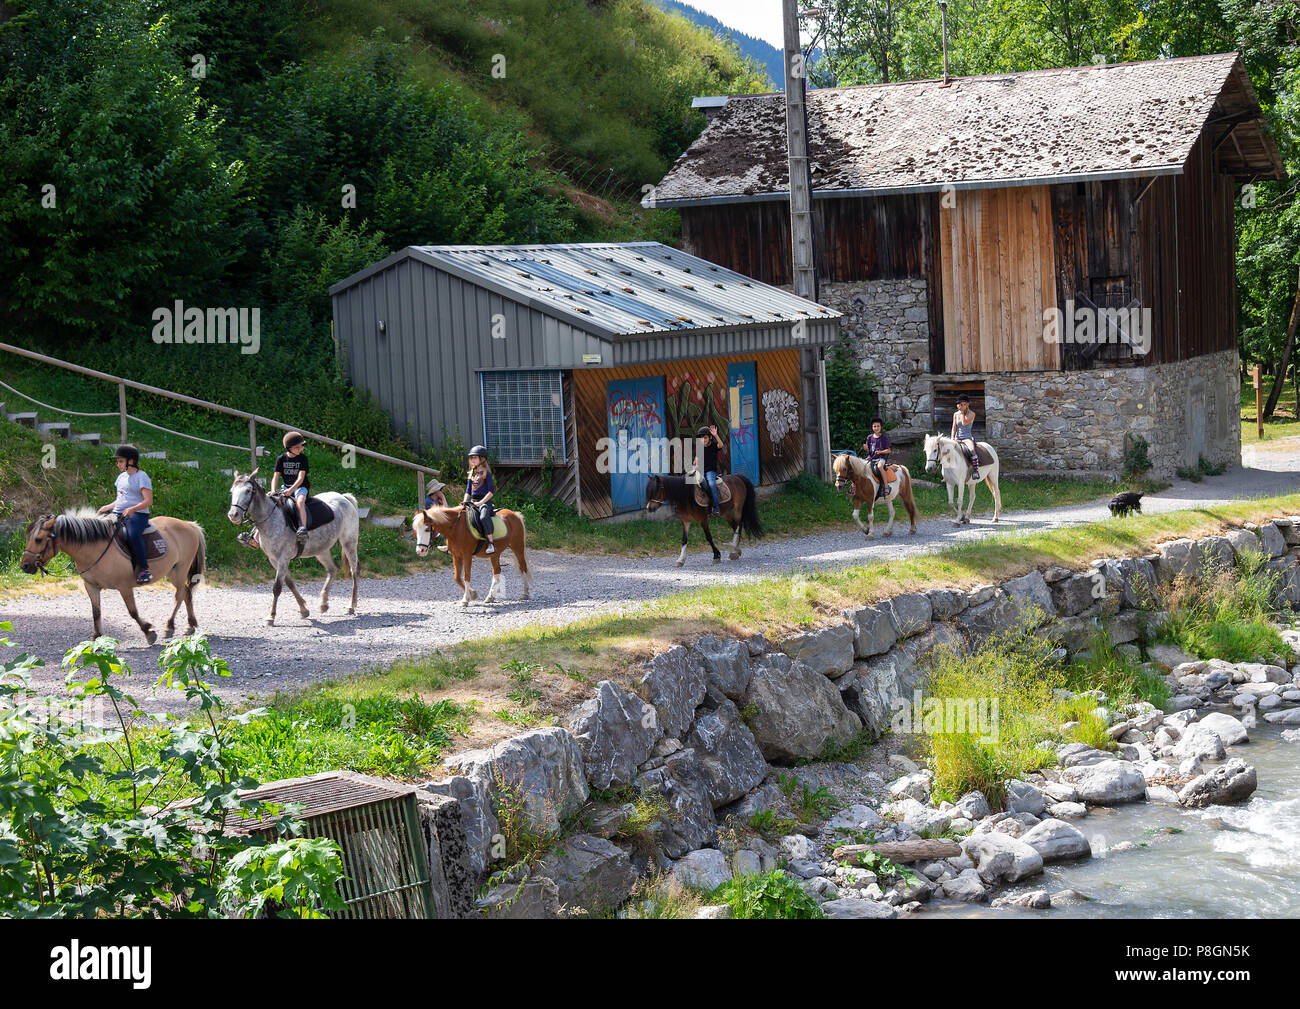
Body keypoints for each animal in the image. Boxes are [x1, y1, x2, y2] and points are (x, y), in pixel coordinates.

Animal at [19, 512, 208, 647]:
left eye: (38, 539)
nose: (25, 566)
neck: (94, 548)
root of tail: (188, 525)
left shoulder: (124, 587)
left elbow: (133, 612)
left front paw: (148, 632)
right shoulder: (91, 586)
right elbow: (96, 612)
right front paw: (96, 638)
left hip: (180, 570)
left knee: (180, 594)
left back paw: (169, 626)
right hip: (172, 572)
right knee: (186, 593)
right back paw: (190, 625)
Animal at [226, 470, 361, 621]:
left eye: (248, 491)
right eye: (232, 491)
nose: (233, 515)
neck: (271, 519)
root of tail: (345, 497)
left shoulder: (283, 557)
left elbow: (277, 587)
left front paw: (271, 616)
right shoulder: (273, 559)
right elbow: (289, 583)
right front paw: (303, 609)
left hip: (349, 542)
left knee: (354, 571)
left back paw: (351, 606)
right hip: (321, 550)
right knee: (333, 569)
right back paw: (324, 604)